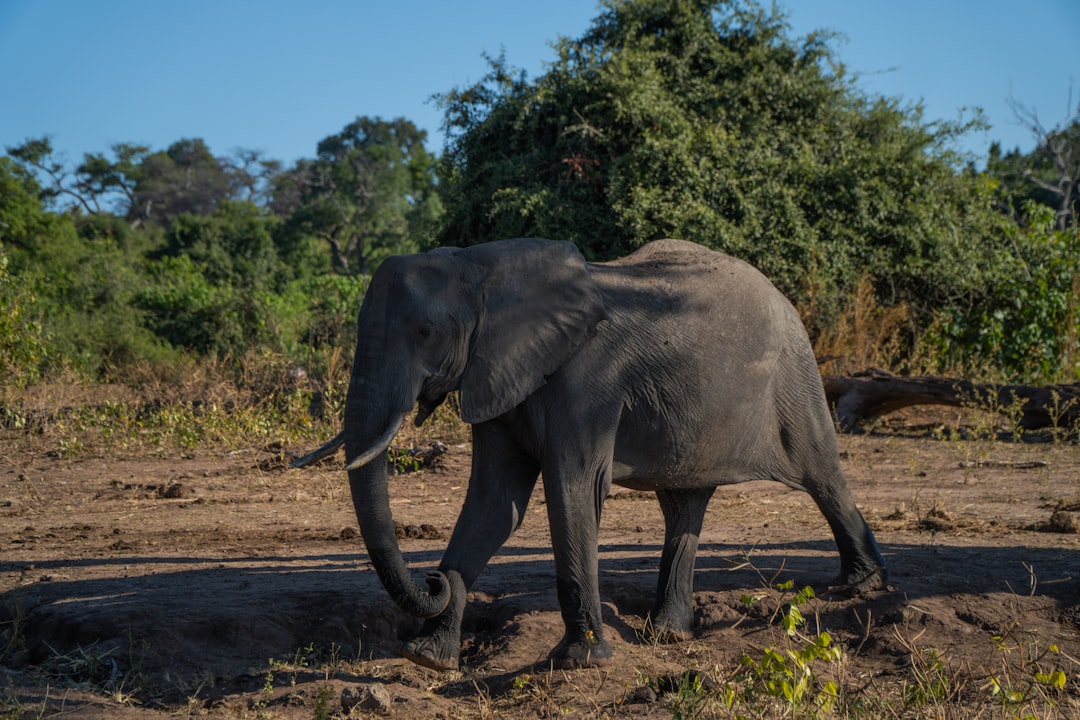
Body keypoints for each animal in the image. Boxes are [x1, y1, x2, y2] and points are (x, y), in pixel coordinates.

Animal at [314, 237, 887, 671]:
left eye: (426, 332)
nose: (432, 579)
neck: (481, 267)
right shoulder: (497, 373)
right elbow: (494, 504)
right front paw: (428, 657)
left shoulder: (590, 383)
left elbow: (572, 488)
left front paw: (580, 662)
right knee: (683, 503)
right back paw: (667, 636)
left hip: (794, 375)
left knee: (821, 471)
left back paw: (859, 585)